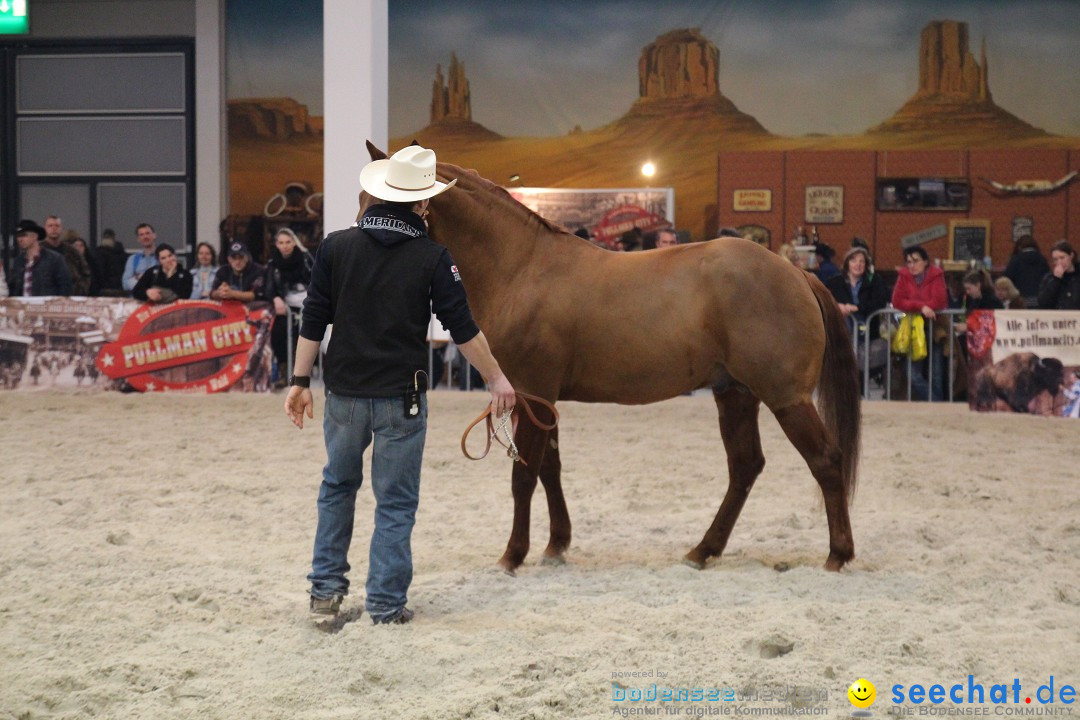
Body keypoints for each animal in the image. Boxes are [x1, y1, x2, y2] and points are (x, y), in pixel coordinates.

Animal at [362, 143, 859, 574]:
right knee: (745, 467)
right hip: (734, 393)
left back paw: (838, 555)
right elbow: (550, 469)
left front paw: (513, 555)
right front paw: (556, 544)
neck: (522, 268)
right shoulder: (544, 402)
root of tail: (796, 272)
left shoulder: (530, 393)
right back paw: (702, 550)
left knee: (825, 460)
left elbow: (524, 476)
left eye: (388, 204)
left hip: (786, 398)